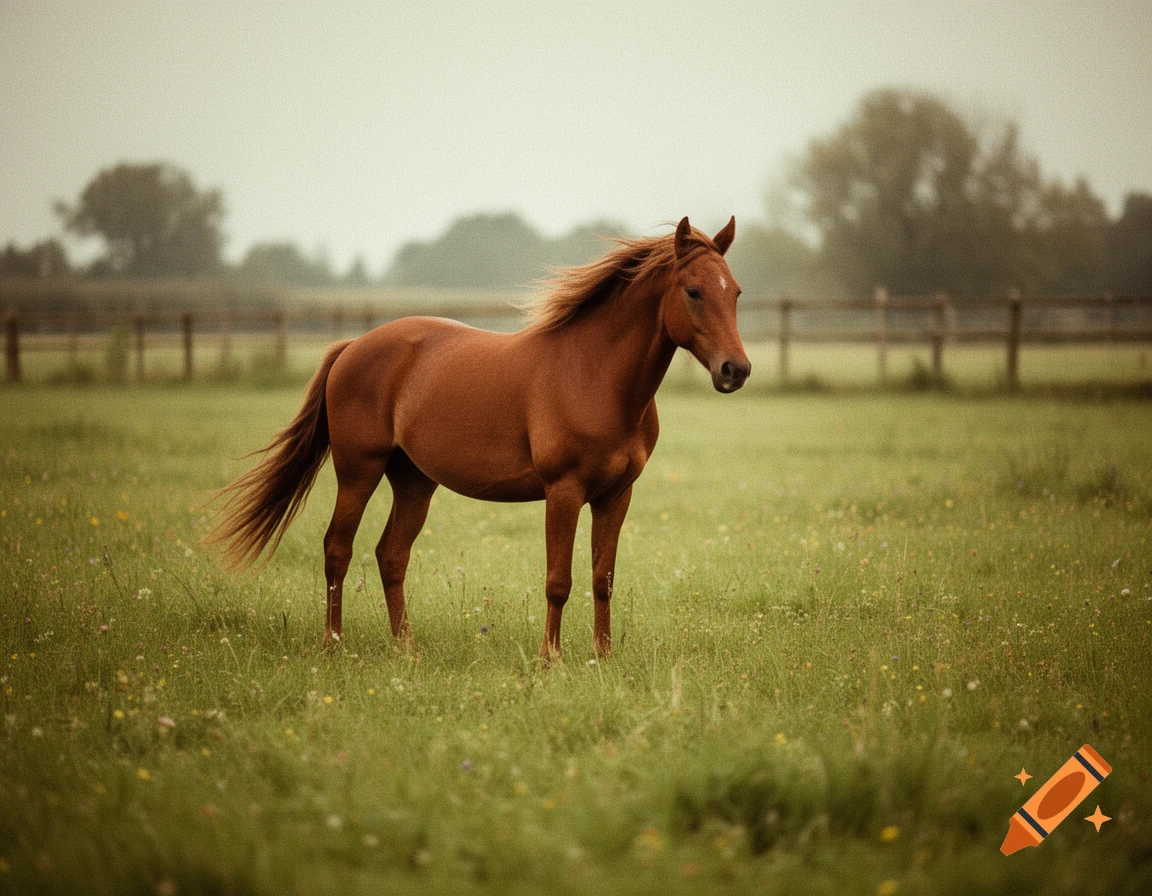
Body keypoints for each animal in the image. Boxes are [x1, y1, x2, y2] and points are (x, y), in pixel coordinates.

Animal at [207, 216, 750, 660]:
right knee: (337, 549)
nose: (736, 370)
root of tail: (353, 346)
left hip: (414, 481)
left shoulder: (617, 495)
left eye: (737, 293)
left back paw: (407, 649)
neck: (596, 375)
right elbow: (559, 580)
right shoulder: (564, 491)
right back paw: (334, 644)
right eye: (694, 291)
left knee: (391, 555)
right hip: (358, 472)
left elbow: (603, 579)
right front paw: (551, 660)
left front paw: (604, 657)